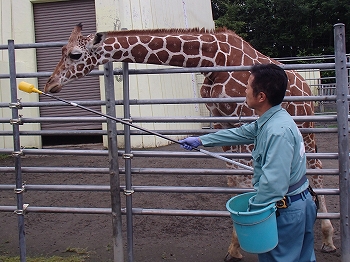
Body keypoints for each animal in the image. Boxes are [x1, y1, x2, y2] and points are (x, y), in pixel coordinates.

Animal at [43, 23, 336, 260]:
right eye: (61, 51)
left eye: (75, 54)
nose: (49, 85)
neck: (213, 57)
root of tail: (307, 86)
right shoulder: (221, 121)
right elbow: (234, 181)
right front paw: (234, 248)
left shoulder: (245, 118)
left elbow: (249, 179)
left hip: (306, 127)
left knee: (317, 169)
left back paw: (328, 237)